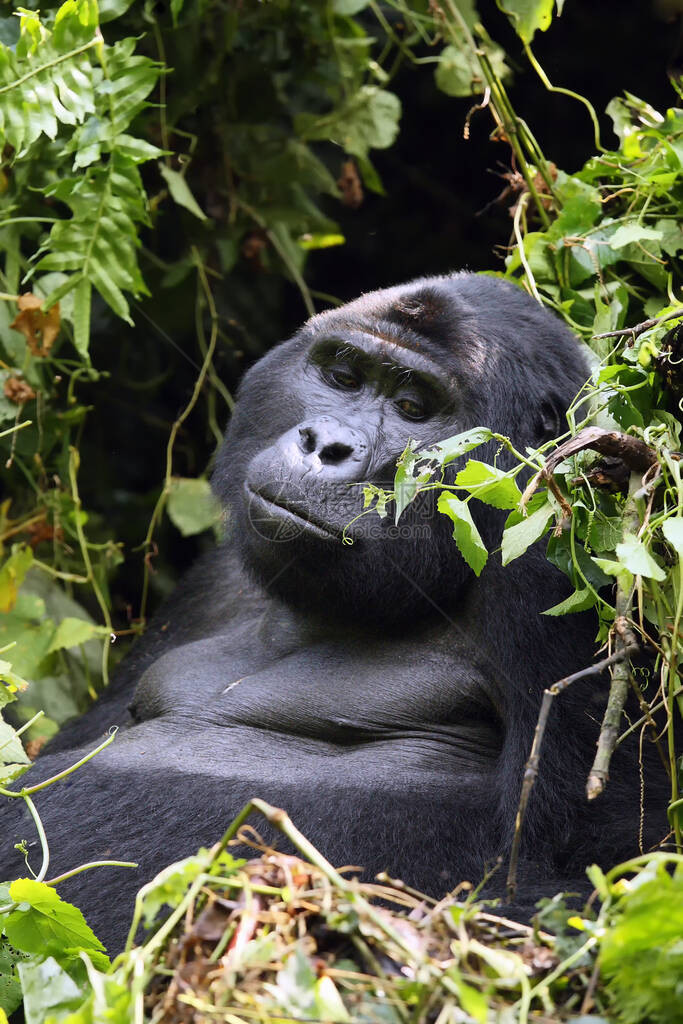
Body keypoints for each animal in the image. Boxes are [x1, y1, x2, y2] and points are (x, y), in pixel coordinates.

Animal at [0, 274, 663, 950]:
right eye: (343, 375)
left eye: (414, 407)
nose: (326, 445)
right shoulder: (216, 577)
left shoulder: (557, 568)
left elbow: (584, 882)